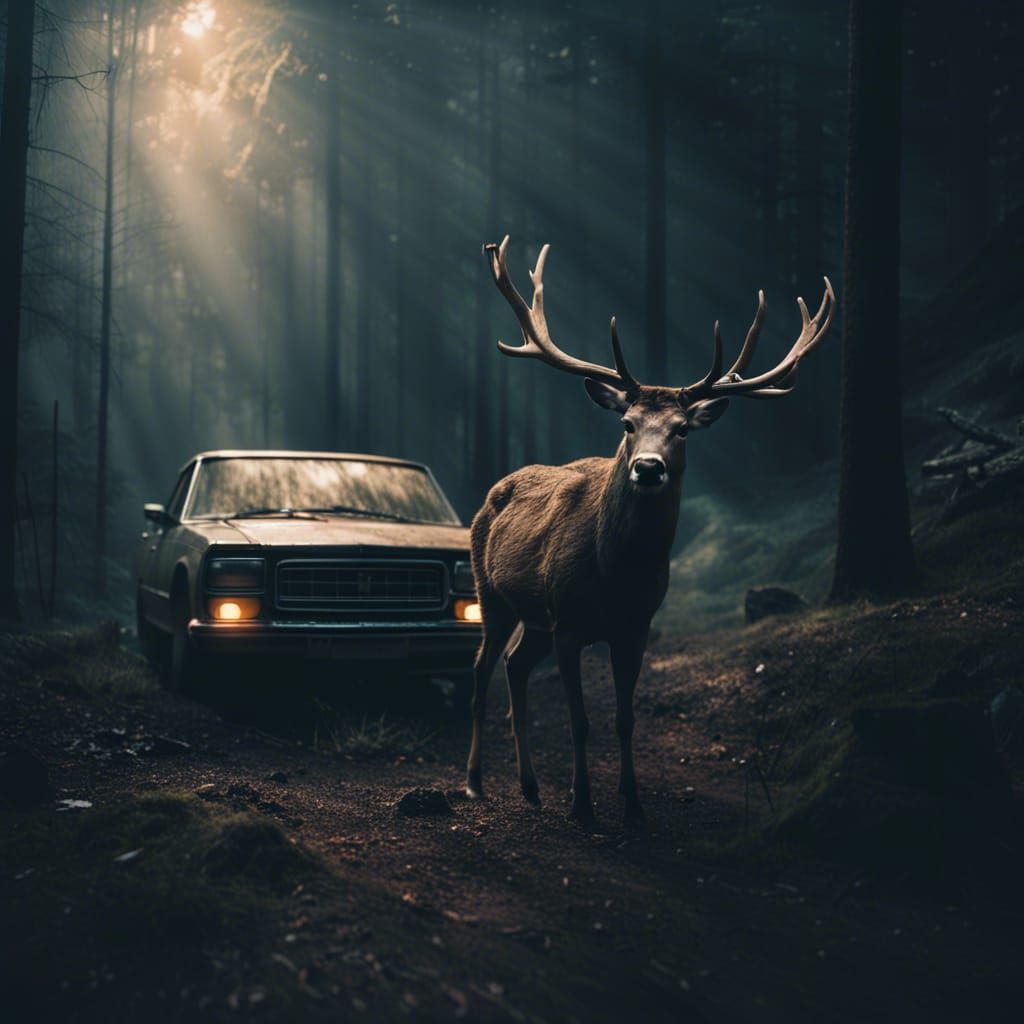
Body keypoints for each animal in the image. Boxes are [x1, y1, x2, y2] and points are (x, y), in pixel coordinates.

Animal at [465, 235, 835, 829]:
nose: (647, 468)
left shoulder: (636, 626)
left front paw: (633, 805)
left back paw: (530, 785)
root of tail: (490, 495)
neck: (614, 576)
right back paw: (476, 781)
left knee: (515, 665)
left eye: (682, 429)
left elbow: (624, 719)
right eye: (627, 424)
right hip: (491, 594)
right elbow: (581, 721)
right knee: (482, 671)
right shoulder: (569, 623)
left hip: (535, 616)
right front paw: (584, 806)